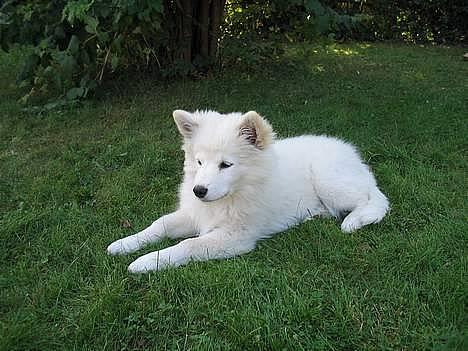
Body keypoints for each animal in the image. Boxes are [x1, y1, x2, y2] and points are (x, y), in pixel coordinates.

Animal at [108, 110, 390, 272]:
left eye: (226, 165)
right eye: (199, 162)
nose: (199, 190)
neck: (234, 193)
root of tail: (354, 157)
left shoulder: (236, 236)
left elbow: (188, 245)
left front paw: (146, 262)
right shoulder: (195, 213)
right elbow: (160, 224)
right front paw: (124, 244)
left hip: (330, 181)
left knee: (372, 198)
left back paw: (353, 220)